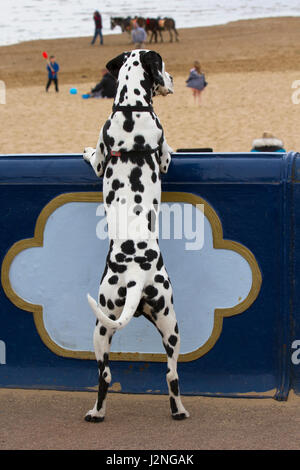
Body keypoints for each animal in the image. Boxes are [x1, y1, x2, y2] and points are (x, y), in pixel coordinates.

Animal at [83, 48, 189, 422]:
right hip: (163, 324)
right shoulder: (163, 154)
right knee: (167, 374)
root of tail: (134, 277)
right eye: (165, 67)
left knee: (110, 375)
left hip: (119, 327)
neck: (131, 109)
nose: (173, 79)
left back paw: (99, 412)